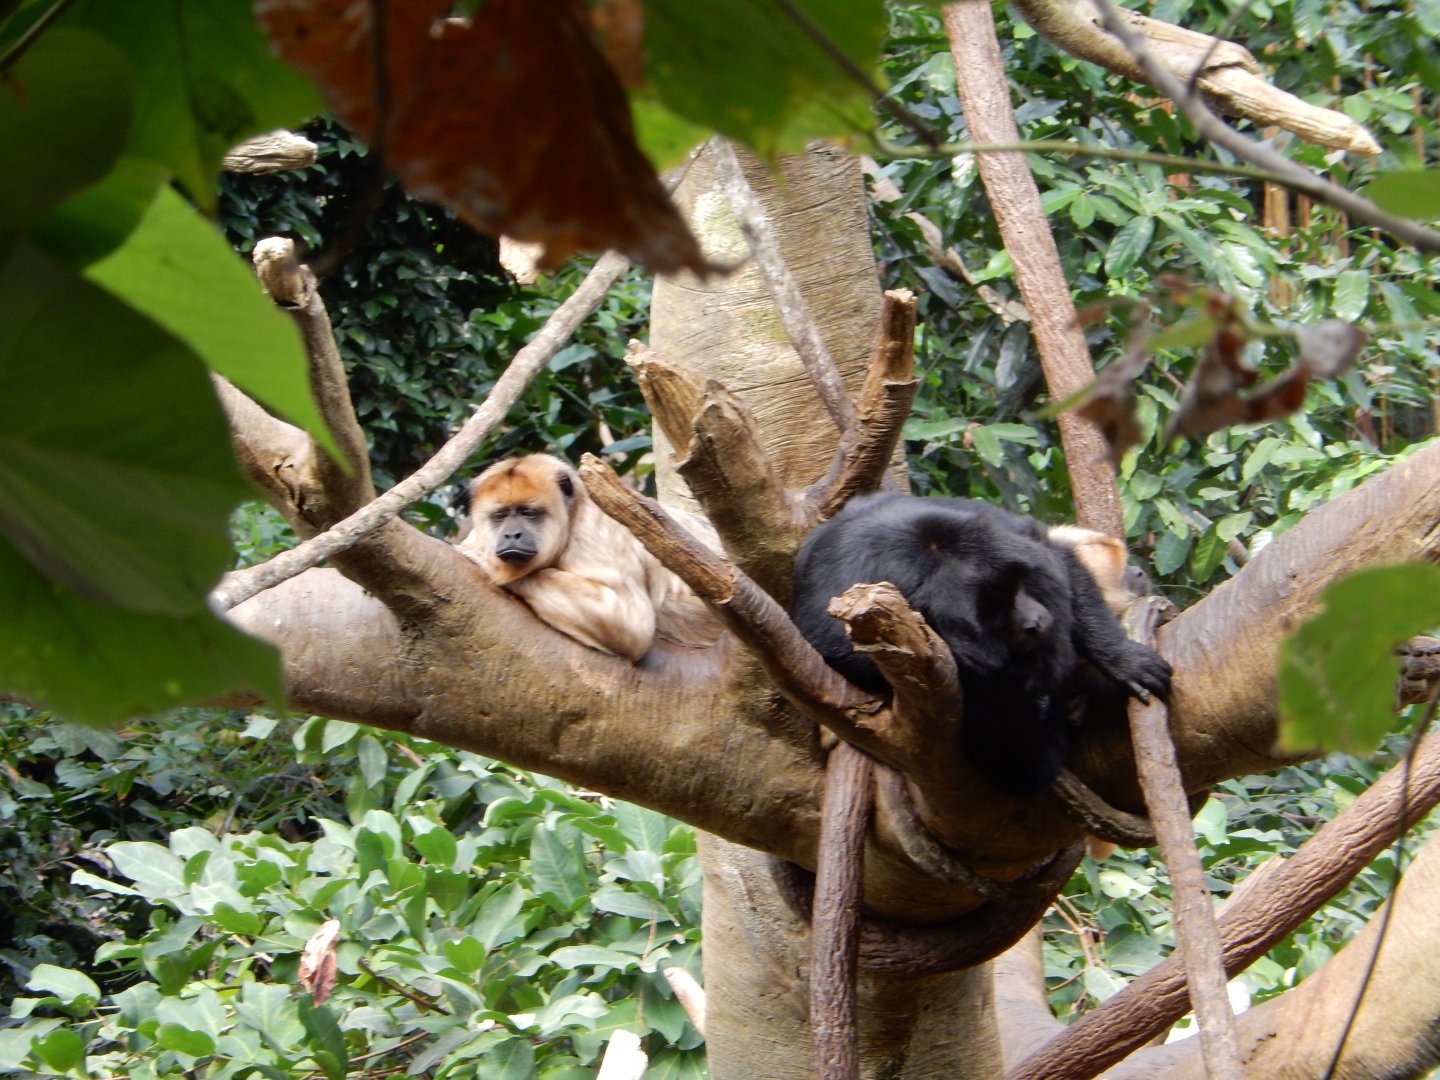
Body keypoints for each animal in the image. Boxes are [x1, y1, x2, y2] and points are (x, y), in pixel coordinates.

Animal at [459, 454, 723, 662]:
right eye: (500, 515)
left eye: (529, 513)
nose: (511, 535)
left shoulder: (595, 525)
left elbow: (632, 622)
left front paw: (483, 559)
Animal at [791, 494, 1171, 793]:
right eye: (996, 610)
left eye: (1016, 588)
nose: (1034, 621)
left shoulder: (1000, 533)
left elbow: (1054, 554)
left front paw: (1122, 660)